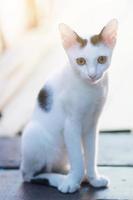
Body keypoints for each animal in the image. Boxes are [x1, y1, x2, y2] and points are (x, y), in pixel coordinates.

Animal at [20, 19, 118, 193]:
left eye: (101, 59)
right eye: (81, 61)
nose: (92, 75)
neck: (90, 90)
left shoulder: (92, 124)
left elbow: (90, 155)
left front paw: (94, 179)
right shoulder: (71, 125)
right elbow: (78, 159)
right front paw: (71, 183)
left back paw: (76, 176)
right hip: (33, 134)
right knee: (30, 175)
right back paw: (62, 179)